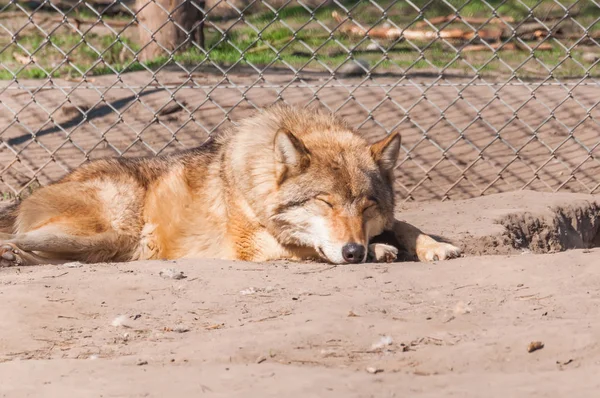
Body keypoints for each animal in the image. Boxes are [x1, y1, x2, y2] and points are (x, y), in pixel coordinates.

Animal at [0, 104, 462, 266]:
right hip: (119, 224)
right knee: (24, 240)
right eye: (324, 202)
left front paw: (434, 246)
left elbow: (407, 225)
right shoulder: (249, 244)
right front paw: (380, 249)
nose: (354, 251)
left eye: (366, 206)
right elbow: (303, 244)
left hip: (112, 242)